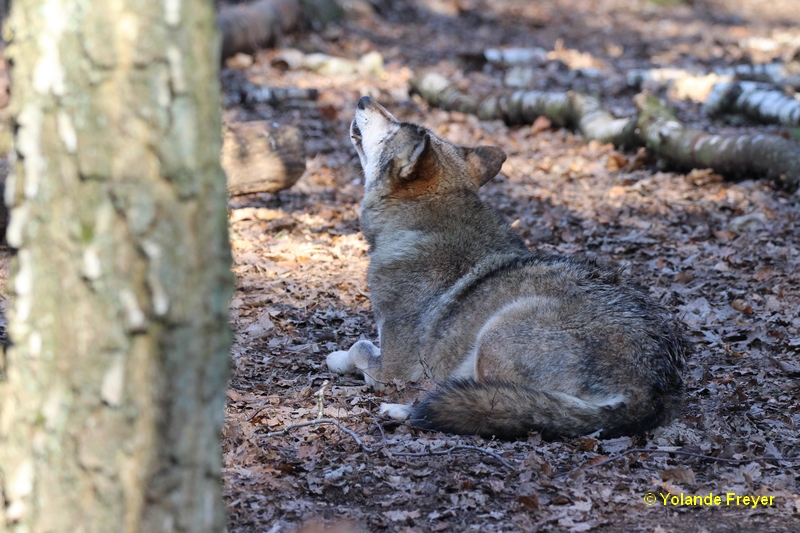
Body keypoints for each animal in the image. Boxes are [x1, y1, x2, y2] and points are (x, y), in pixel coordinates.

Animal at [326, 97, 688, 438]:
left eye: (393, 129)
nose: (364, 99)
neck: (419, 223)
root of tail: (652, 389)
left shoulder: (395, 368)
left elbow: (359, 347)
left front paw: (337, 359)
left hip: (495, 335)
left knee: (497, 404)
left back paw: (402, 410)